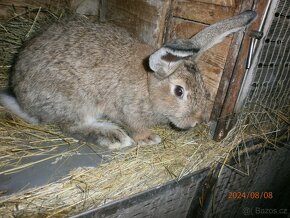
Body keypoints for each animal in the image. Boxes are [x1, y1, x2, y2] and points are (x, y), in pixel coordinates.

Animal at [0, 10, 256, 150]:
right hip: (74, 101)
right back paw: (113, 137)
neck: (149, 86)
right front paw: (149, 138)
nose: (193, 123)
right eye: (179, 91)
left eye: (205, 89)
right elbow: (135, 126)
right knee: (70, 126)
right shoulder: (126, 110)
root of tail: (22, 100)